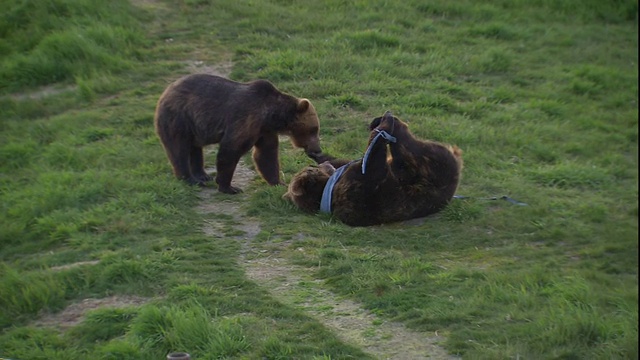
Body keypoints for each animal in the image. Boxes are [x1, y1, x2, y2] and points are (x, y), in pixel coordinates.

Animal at [154, 73, 330, 194]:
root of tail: (165, 92)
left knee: (194, 149)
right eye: (314, 129)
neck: (271, 115)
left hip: (194, 126)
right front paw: (228, 187)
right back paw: (190, 179)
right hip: (179, 118)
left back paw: (202, 175)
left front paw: (279, 182)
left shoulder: (264, 131)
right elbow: (230, 151)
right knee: (179, 149)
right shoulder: (246, 119)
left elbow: (266, 155)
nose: (318, 149)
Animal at [282, 111, 462, 226]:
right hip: (434, 167)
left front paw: (316, 153)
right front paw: (382, 129)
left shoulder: (346, 171)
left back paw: (379, 120)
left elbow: (343, 160)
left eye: (311, 166)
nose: (320, 165)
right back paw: (389, 122)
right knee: (407, 147)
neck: (326, 189)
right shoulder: (358, 189)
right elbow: (372, 160)